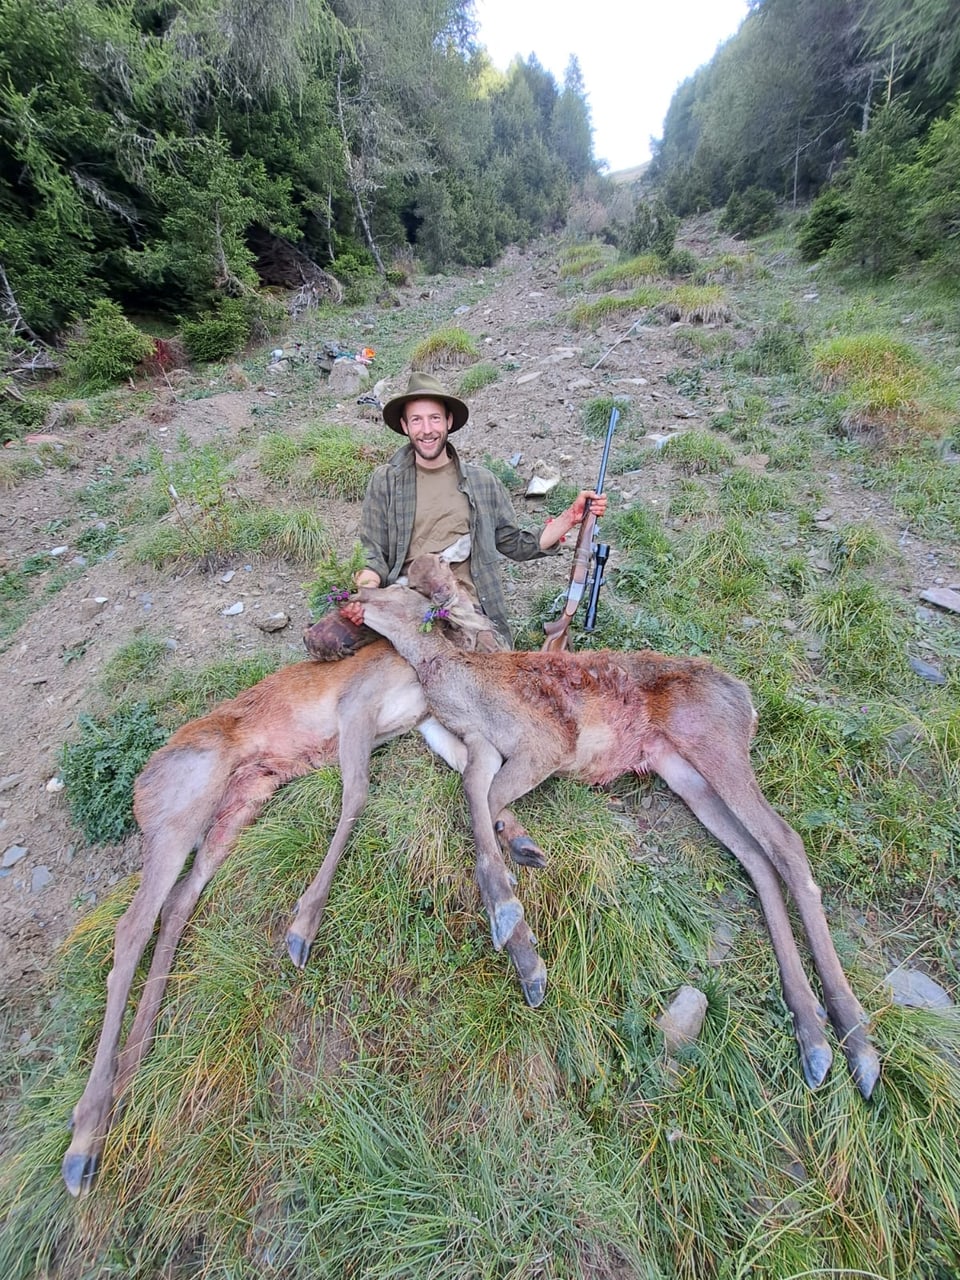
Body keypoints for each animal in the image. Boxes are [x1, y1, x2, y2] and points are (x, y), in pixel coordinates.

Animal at [63, 601, 537, 1198]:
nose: (488, 633)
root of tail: (138, 788)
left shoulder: (424, 721)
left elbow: (474, 777)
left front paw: (521, 875)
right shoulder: (357, 701)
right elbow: (358, 793)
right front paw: (303, 926)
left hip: (240, 803)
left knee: (177, 905)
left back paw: (135, 1065)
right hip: (183, 806)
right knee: (131, 926)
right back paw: (86, 1139)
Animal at [358, 555, 885, 1105]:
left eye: (400, 588)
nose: (355, 594)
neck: (464, 688)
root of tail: (748, 701)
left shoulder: (547, 741)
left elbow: (490, 804)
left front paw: (512, 894)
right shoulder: (484, 747)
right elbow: (477, 804)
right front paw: (519, 919)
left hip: (715, 741)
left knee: (785, 840)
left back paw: (855, 1045)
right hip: (682, 770)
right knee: (755, 856)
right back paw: (813, 1031)